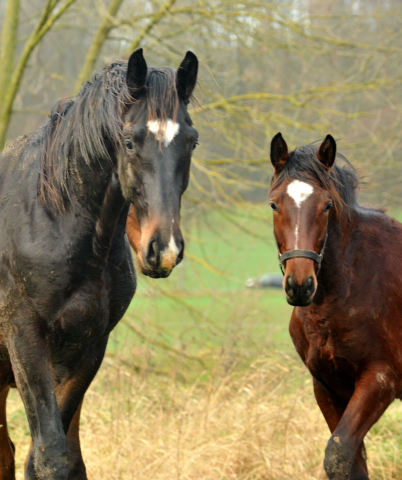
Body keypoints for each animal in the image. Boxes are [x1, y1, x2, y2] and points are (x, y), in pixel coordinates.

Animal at [0, 48, 199, 480]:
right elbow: (50, 456)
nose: (164, 248)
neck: (50, 218)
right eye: (128, 142)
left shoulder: (89, 348)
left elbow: (60, 458)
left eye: (191, 141)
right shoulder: (25, 341)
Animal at [268, 131, 402, 480]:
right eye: (274, 204)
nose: (300, 285)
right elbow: (352, 461)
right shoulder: (327, 386)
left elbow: (338, 455)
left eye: (327, 205)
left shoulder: (380, 380)